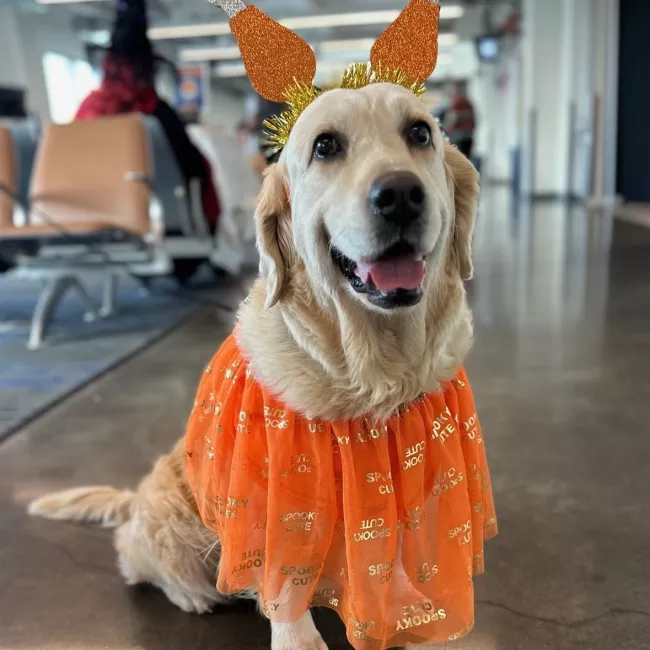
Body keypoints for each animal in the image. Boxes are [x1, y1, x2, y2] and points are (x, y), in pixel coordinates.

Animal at [27, 82, 478, 648]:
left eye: (419, 133)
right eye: (326, 146)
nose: (399, 194)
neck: (369, 369)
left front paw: (402, 607)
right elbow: (283, 580)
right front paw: (299, 640)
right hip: (170, 520)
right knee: (137, 558)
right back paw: (192, 593)